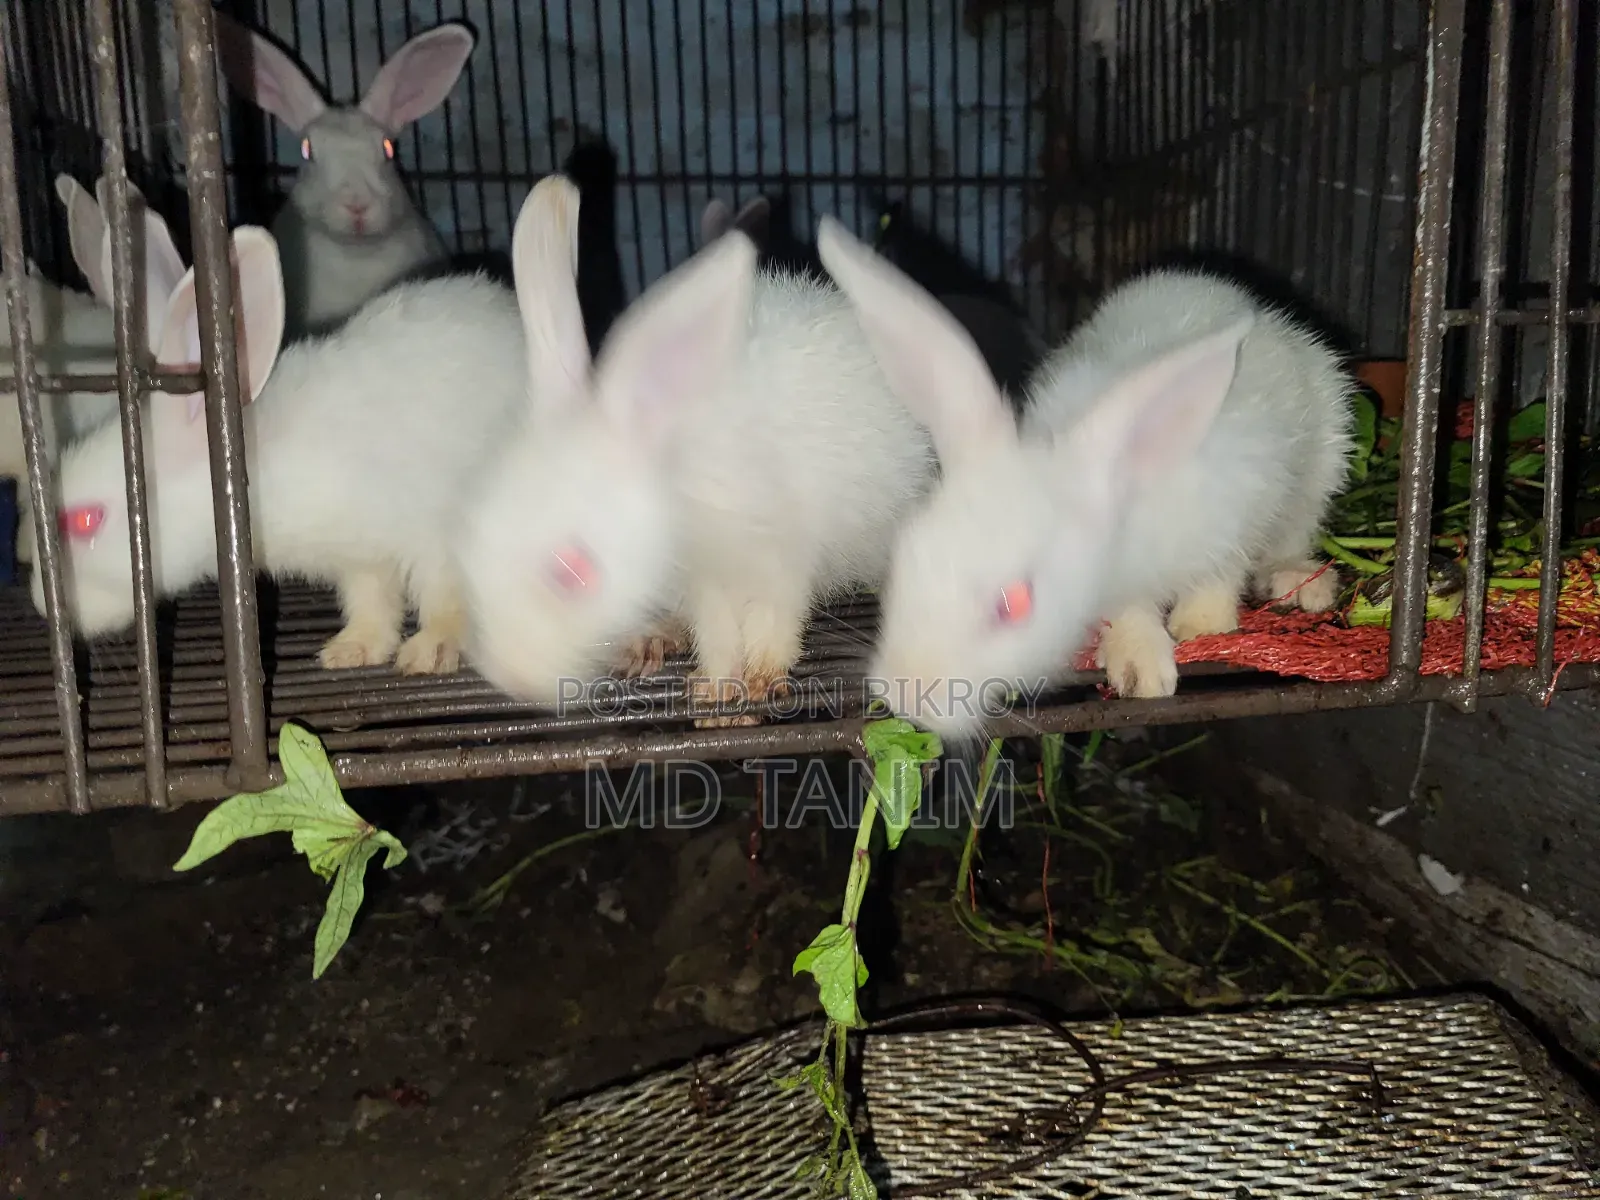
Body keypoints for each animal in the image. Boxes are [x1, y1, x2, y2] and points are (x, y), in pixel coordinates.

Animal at [36, 227, 530, 677]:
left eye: (86, 520)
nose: (43, 607)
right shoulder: (362, 561)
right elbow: (372, 604)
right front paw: (350, 650)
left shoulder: (433, 537)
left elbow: (446, 601)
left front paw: (430, 652)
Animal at [456, 176, 937, 715]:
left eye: (570, 572)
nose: (512, 681)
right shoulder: (703, 583)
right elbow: (717, 634)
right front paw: (717, 688)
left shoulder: (782, 555)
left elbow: (775, 620)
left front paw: (762, 680)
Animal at [816, 224, 1355, 739]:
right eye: (902, 563)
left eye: (1014, 605)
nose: (907, 695)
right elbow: (1132, 611)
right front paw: (1138, 663)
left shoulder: (1242, 500)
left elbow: (1219, 574)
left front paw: (1200, 627)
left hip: (1323, 460)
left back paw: (1299, 583)